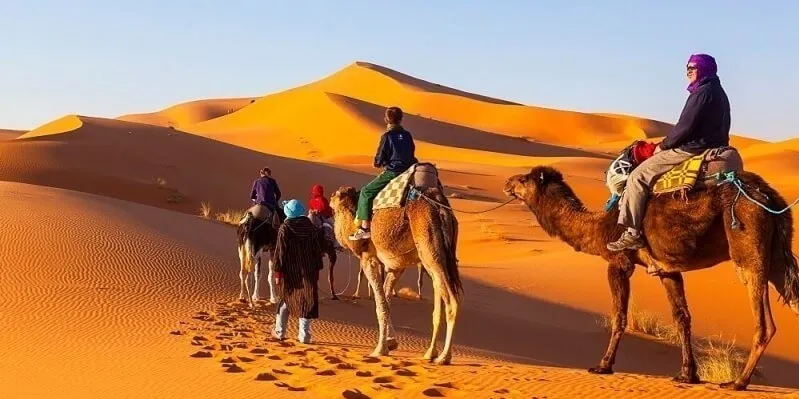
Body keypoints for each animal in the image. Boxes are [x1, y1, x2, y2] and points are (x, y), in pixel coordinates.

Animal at [330, 166, 462, 366]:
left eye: (336, 196)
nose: (329, 199)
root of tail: (440, 206)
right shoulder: (396, 266)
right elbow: (387, 300)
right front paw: (390, 343)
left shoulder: (368, 258)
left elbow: (381, 305)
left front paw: (379, 349)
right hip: (437, 256)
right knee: (438, 300)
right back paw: (429, 353)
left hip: (430, 250)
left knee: (452, 302)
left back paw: (444, 357)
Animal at [506, 165, 799, 390]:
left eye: (524, 179)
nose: (508, 182)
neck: (599, 226)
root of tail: (770, 197)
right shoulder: (667, 270)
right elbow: (682, 317)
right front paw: (688, 374)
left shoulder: (619, 262)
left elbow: (619, 316)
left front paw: (603, 365)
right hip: (776, 255)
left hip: (748, 248)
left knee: (764, 322)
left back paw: (738, 382)